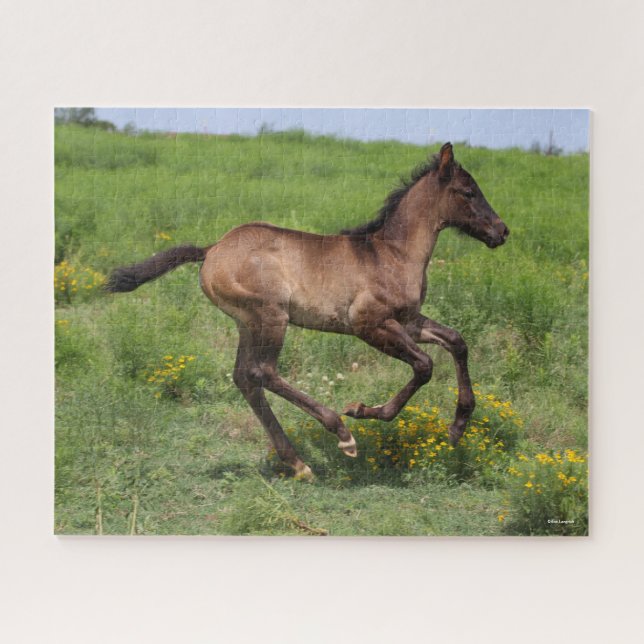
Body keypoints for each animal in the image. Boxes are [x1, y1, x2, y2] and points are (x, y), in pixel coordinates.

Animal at [106, 143, 509, 481]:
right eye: (469, 192)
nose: (502, 231)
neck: (392, 253)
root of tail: (211, 250)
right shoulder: (369, 324)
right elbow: (424, 365)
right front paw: (362, 410)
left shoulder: (409, 322)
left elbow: (457, 341)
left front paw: (457, 427)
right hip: (271, 317)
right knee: (262, 372)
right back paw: (340, 434)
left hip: (247, 324)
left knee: (244, 377)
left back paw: (298, 463)